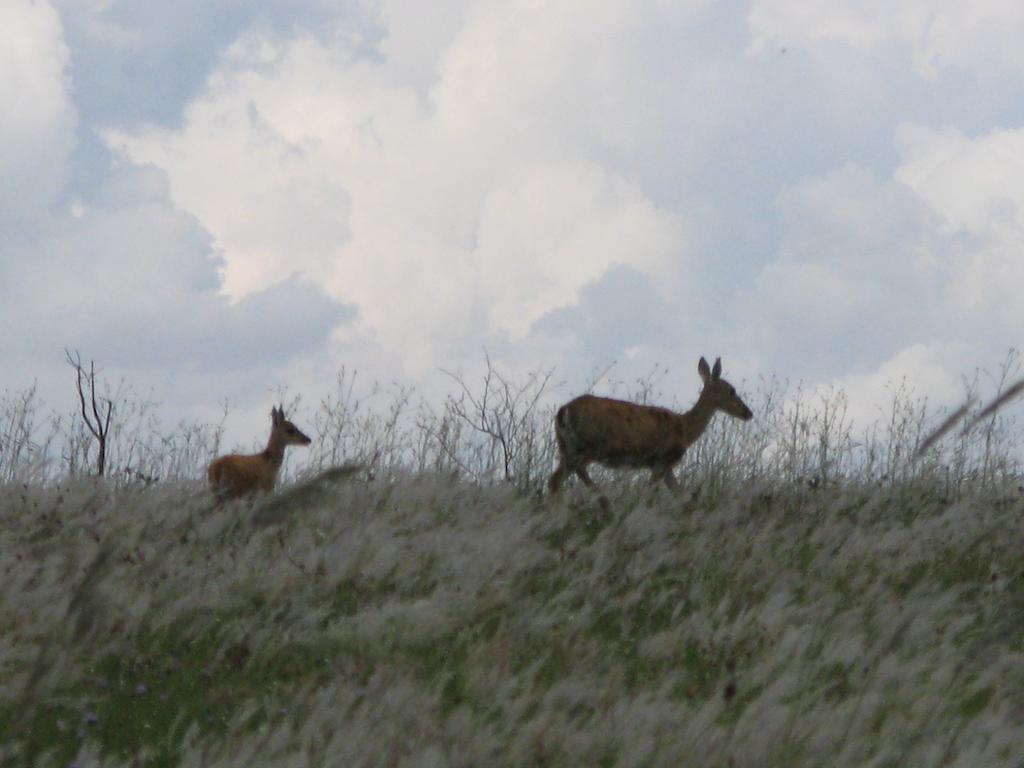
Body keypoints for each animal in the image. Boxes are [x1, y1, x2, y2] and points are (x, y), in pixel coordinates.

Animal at [544, 358, 753, 495]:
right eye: (731, 390)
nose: (748, 413)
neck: (685, 429)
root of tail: (564, 411)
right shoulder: (663, 458)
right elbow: (650, 491)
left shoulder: (665, 466)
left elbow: (680, 492)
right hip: (591, 444)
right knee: (574, 470)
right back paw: (600, 497)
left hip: (565, 447)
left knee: (554, 479)